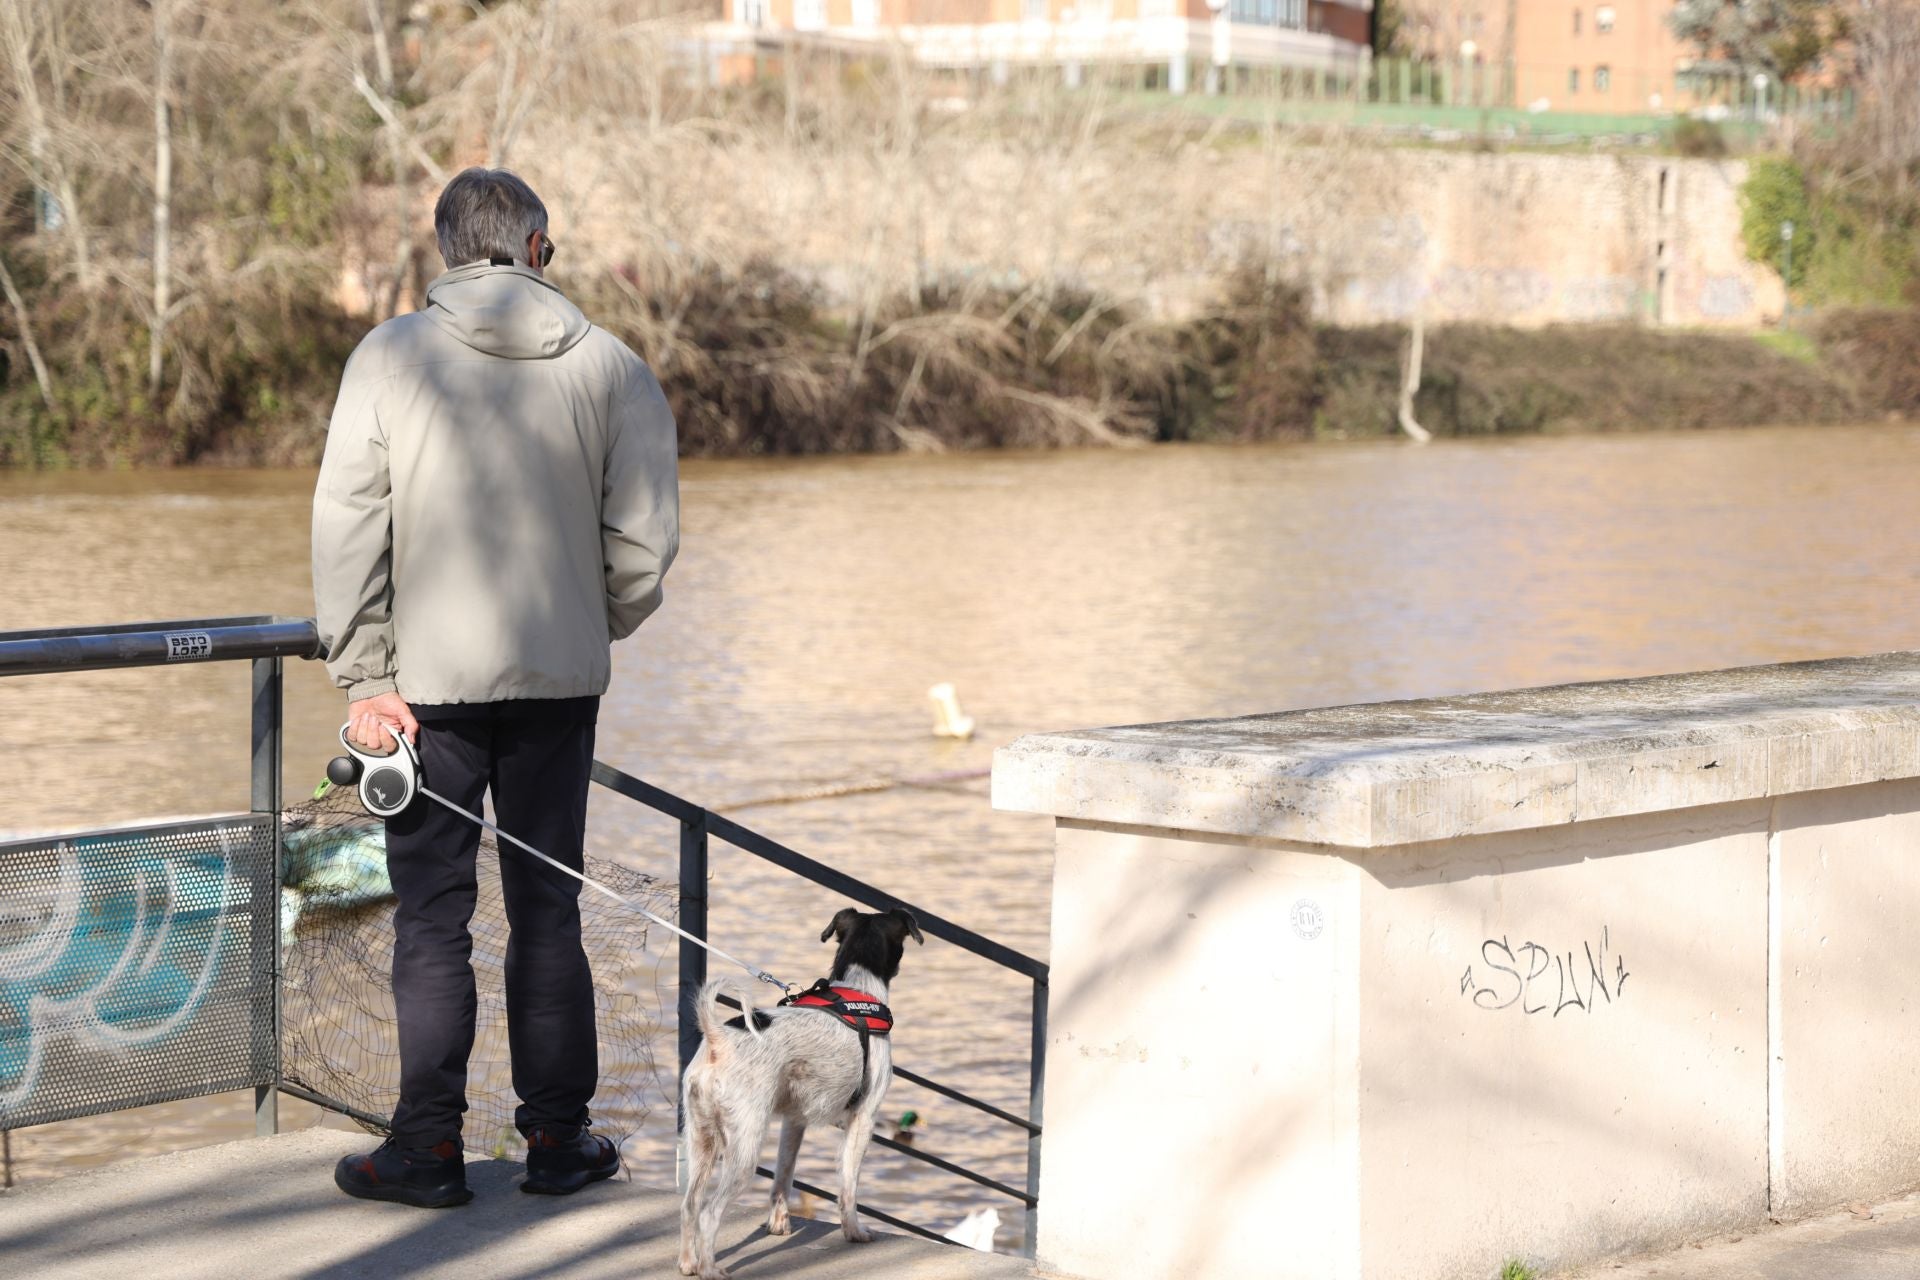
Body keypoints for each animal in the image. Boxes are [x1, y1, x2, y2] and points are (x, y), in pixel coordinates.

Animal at [675, 905, 921, 1274]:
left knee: (690, 1204)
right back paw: (710, 1270)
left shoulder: (794, 1121)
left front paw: (778, 1223)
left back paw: (689, 1263)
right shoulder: (864, 1118)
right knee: (708, 1213)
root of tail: (718, 1039)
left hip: (700, 1137)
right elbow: (848, 1186)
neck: (858, 987)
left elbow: (783, 1176)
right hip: (744, 1146)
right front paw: (854, 1230)